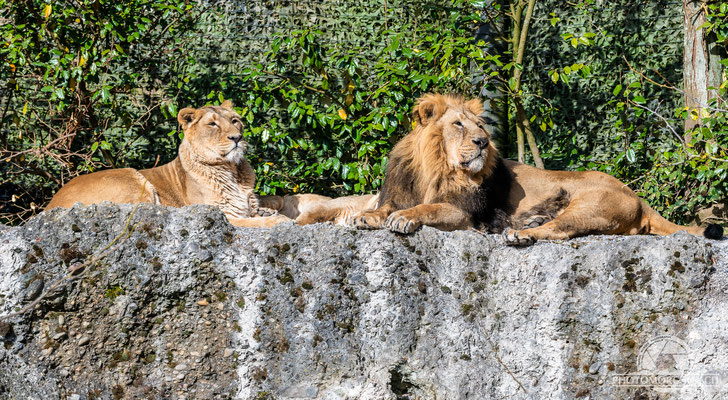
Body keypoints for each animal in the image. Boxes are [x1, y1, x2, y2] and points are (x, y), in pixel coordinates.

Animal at [44, 100, 290, 228]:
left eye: (235, 121)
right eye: (212, 125)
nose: (236, 138)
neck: (233, 170)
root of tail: (48, 207)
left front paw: (266, 212)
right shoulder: (223, 214)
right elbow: (252, 222)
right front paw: (277, 220)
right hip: (134, 180)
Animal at [302, 94, 724, 244]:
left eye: (481, 126)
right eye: (459, 125)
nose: (482, 143)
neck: (435, 168)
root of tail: (639, 198)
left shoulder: (464, 213)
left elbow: (428, 208)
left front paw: (405, 219)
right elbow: (381, 208)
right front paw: (369, 218)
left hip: (587, 206)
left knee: (560, 231)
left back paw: (521, 235)